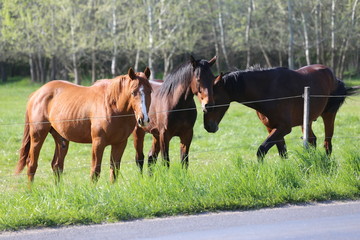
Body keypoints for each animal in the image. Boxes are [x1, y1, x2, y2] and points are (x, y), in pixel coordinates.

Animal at [15, 66, 152, 183]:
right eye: (133, 92)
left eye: (150, 91)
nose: (143, 119)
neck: (113, 106)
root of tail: (36, 94)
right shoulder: (98, 143)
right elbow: (95, 171)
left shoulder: (120, 143)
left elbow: (114, 171)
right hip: (38, 135)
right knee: (32, 164)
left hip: (61, 138)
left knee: (57, 165)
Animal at [204, 64, 358, 160]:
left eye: (211, 102)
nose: (208, 127)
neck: (268, 91)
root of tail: (333, 76)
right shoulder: (272, 128)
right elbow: (282, 152)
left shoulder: (284, 128)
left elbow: (261, 150)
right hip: (306, 120)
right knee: (312, 140)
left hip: (328, 115)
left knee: (327, 143)